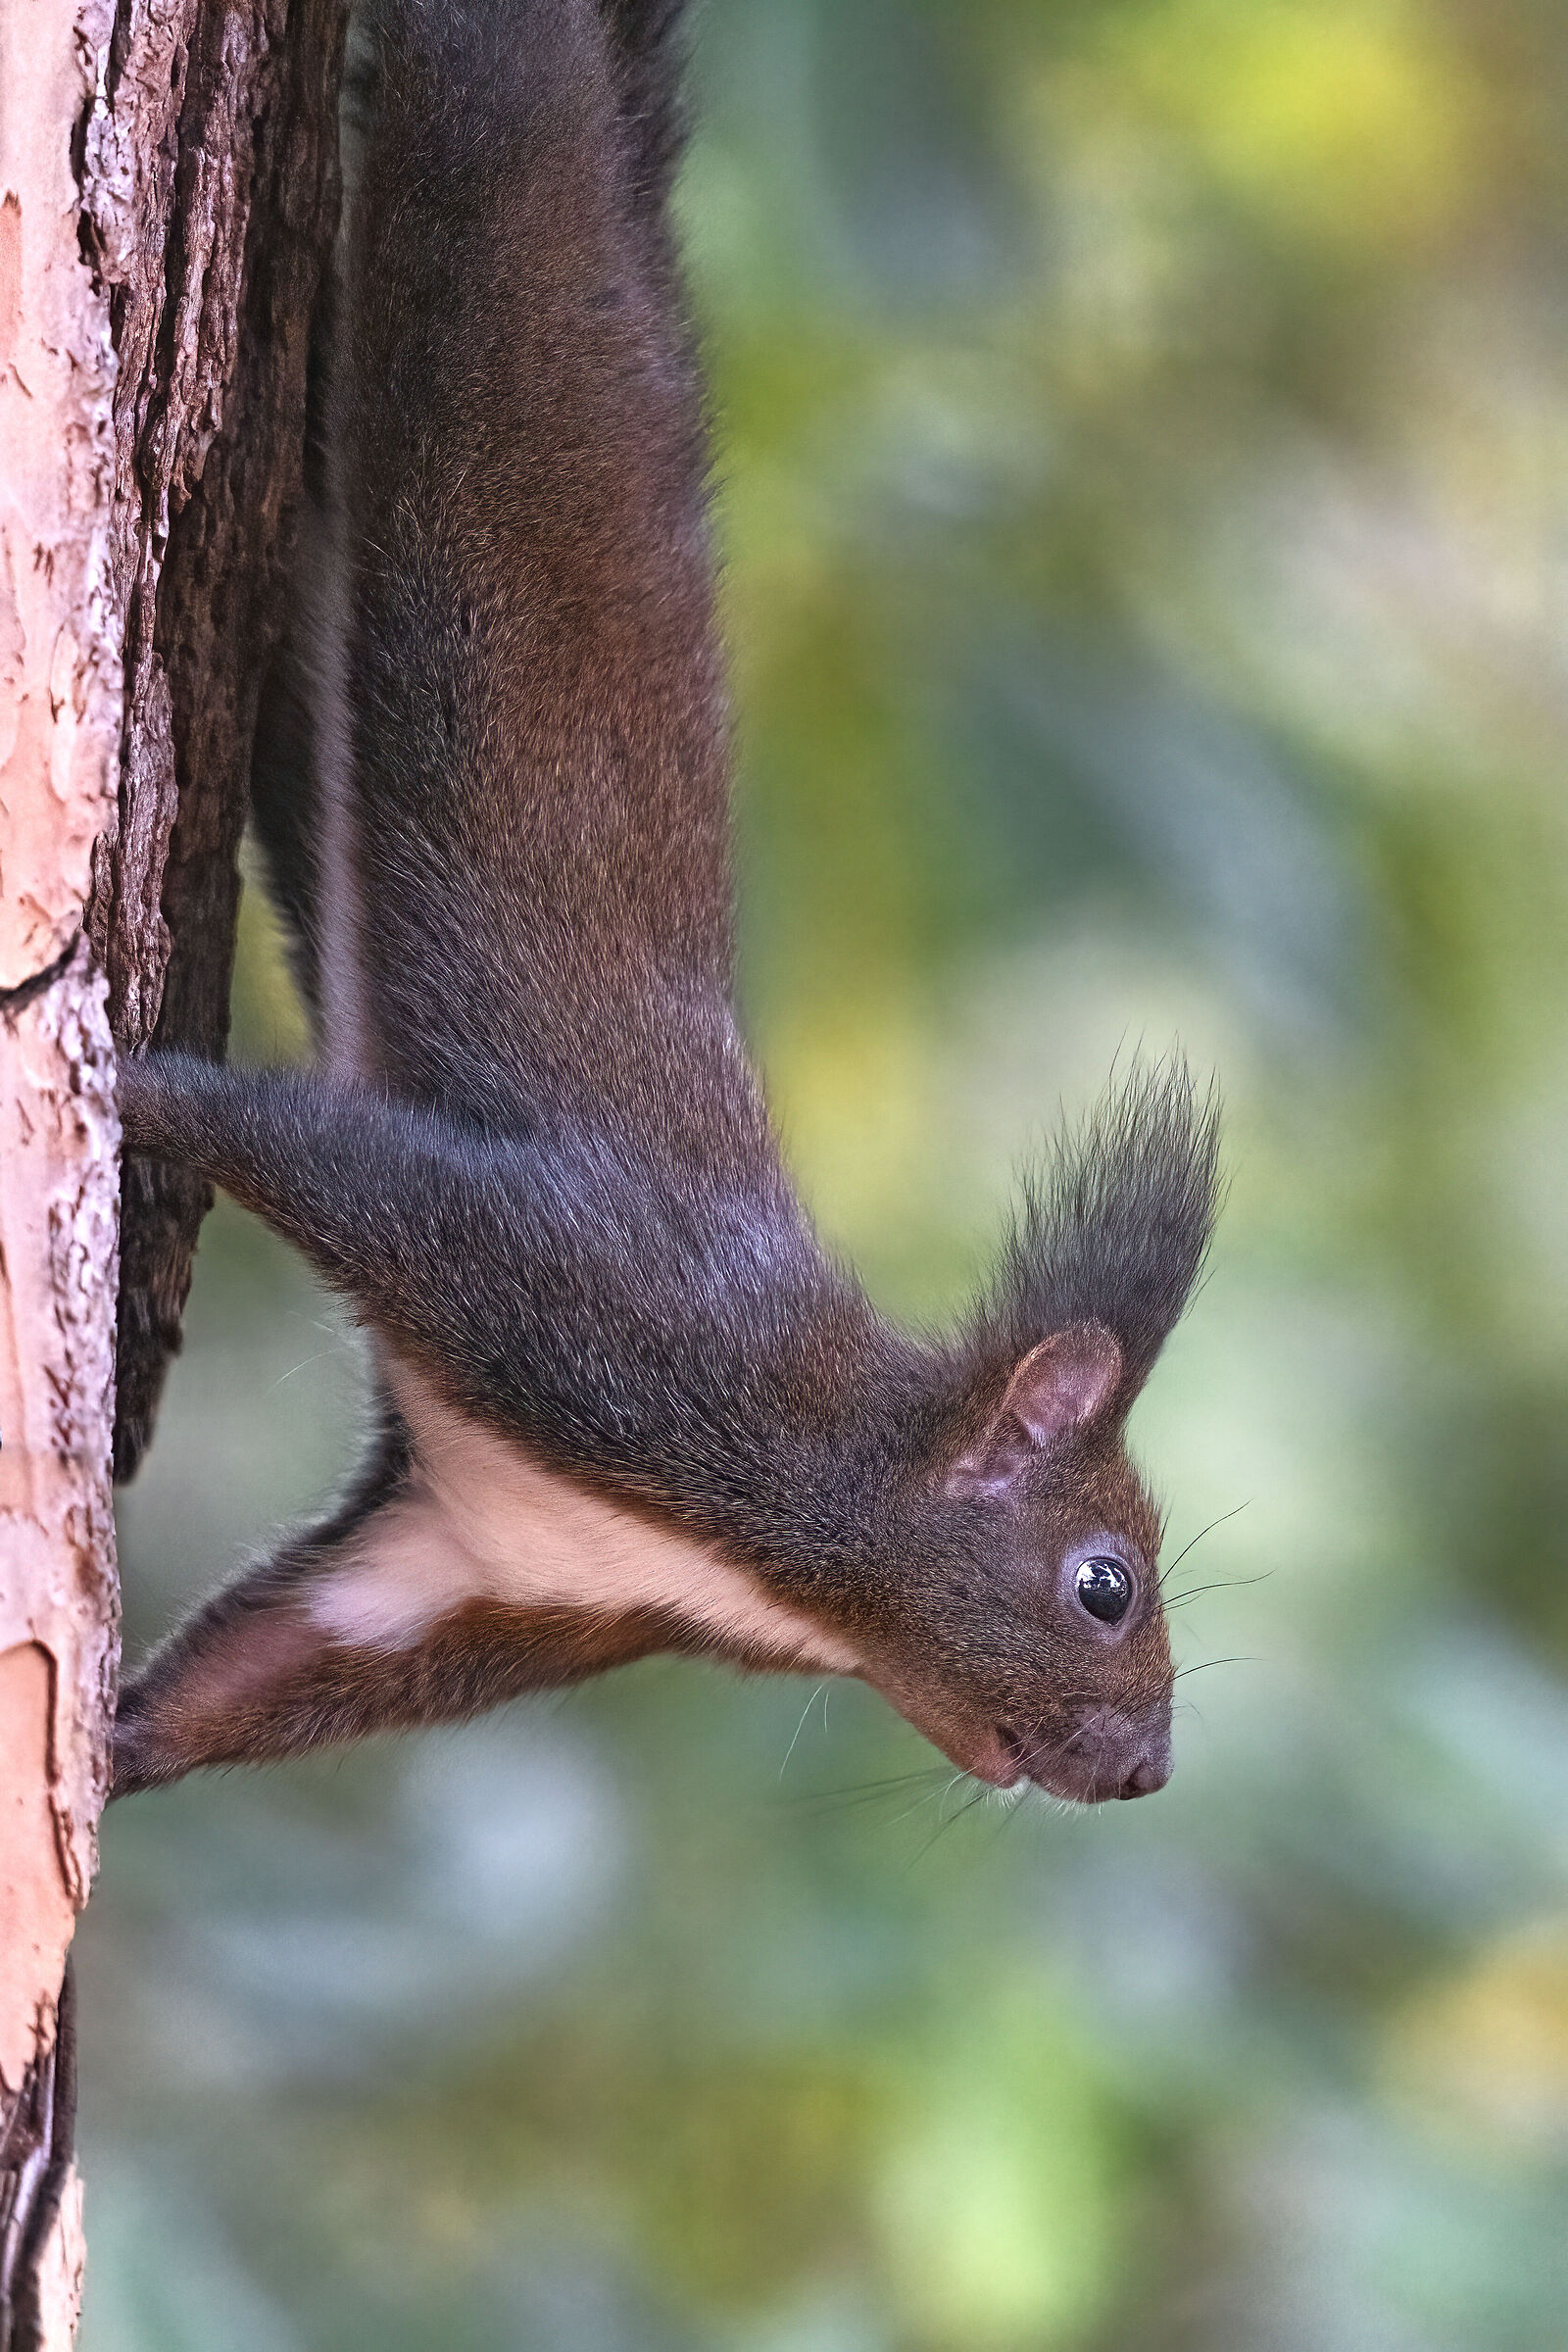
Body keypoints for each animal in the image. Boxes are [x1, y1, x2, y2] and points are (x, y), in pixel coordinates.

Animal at [112, 0, 1221, 1808]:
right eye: (1105, 1585)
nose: (1143, 1771)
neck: (796, 1544)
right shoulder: (599, 1316)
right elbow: (319, 1158)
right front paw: (109, 1071)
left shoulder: (475, 1568)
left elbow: (259, 1679)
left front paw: (102, 1749)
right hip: (482, 151)